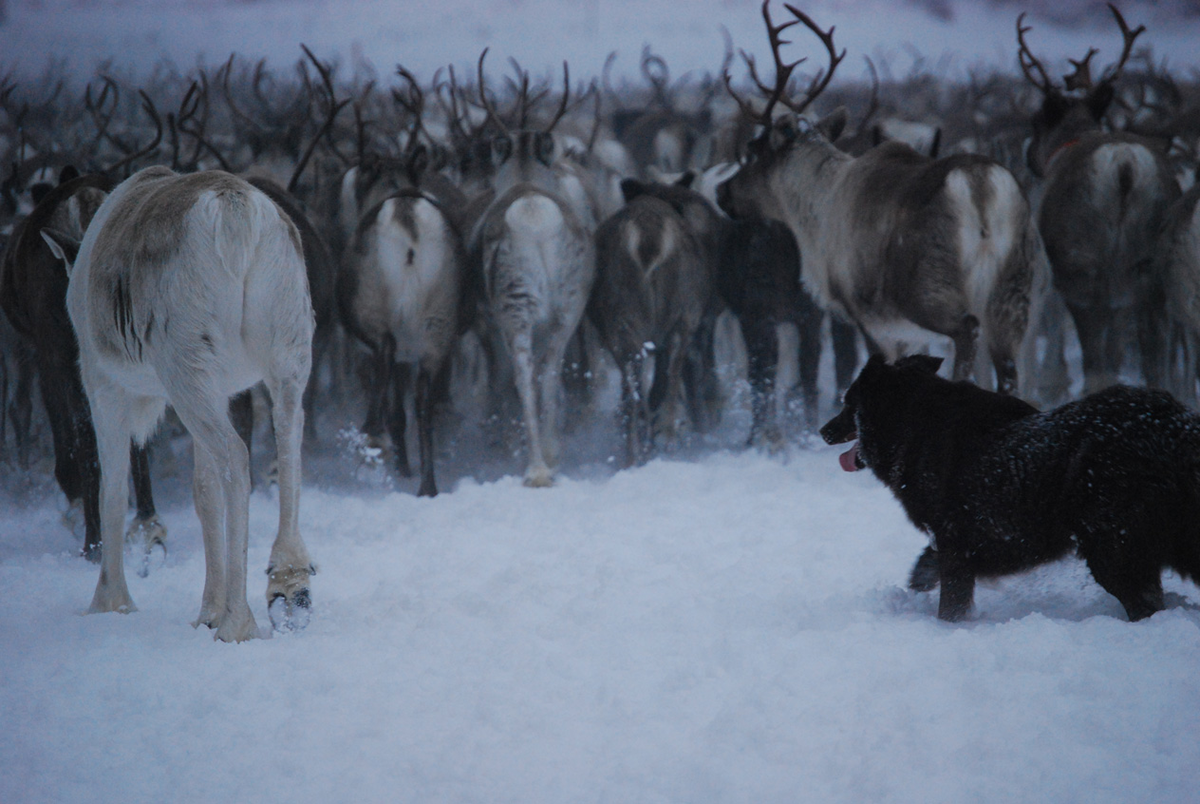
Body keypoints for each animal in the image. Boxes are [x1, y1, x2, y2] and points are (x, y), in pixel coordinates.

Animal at [820, 355, 1200, 628]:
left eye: (848, 403)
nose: (824, 431)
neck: (913, 425)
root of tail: (1172, 426)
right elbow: (930, 565)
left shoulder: (956, 542)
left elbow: (951, 601)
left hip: (1111, 550)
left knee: (1144, 604)